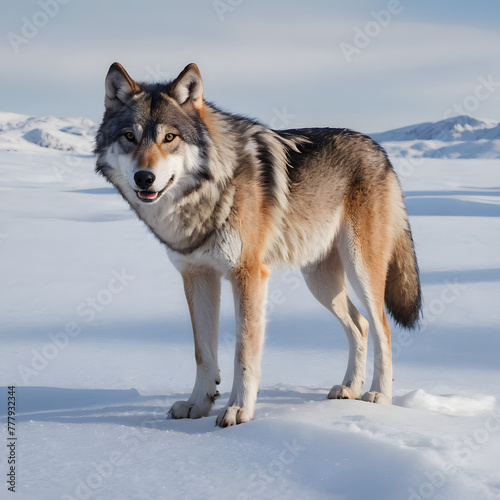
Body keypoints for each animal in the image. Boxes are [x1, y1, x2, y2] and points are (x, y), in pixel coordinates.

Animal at [94, 62, 422, 428]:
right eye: (129, 137)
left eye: (169, 138)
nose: (144, 178)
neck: (209, 192)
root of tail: (379, 149)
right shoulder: (197, 277)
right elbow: (202, 353)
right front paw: (197, 405)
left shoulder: (248, 275)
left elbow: (244, 352)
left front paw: (239, 410)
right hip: (321, 282)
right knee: (359, 324)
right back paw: (349, 388)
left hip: (360, 270)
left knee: (382, 328)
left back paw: (379, 396)